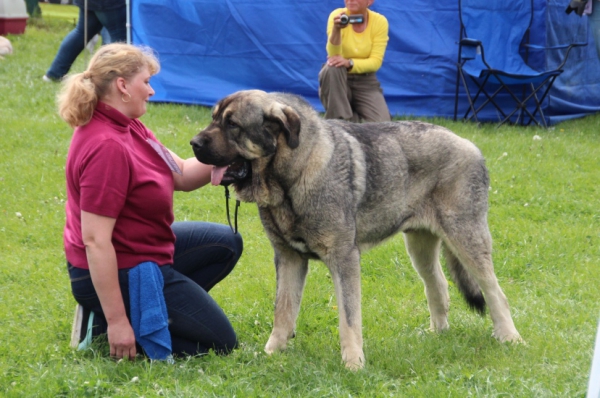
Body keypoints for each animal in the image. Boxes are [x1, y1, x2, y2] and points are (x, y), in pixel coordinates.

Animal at [191, 90, 520, 370]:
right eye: (214, 118)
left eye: (232, 124)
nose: (194, 143)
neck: (292, 175)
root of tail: (470, 145)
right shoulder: (288, 258)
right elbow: (283, 310)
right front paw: (272, 353)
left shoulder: (343, 258)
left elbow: (348, 319)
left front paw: (353, 364)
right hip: (420, 246)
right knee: (438, 285)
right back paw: (437, 334)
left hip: (466, 236)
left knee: (495, 291)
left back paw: (509, 338)